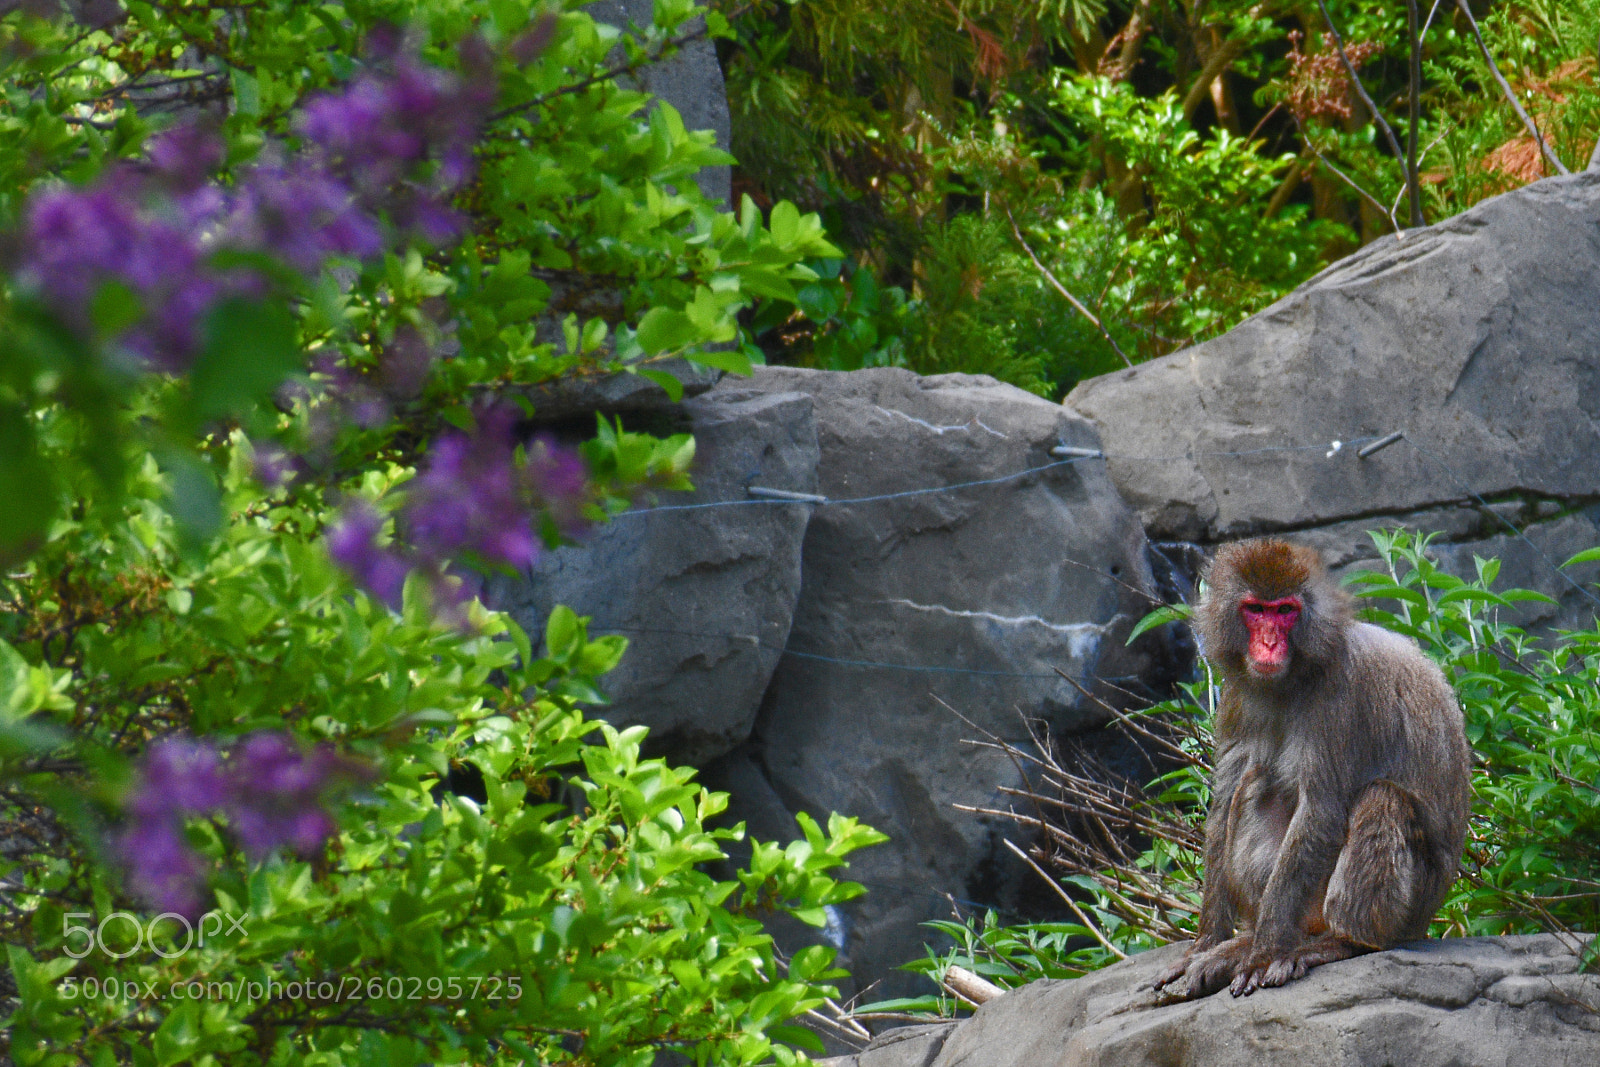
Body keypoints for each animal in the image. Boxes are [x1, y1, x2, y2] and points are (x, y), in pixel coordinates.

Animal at [1150, 538, 1471, 999]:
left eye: (1285, 610)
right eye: (1256, 609)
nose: (1268, 643)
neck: (1293, 677)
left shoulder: (1342, 694)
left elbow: (1321, 811)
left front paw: (1263, 955)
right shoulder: (1236, 696)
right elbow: (1225, 802)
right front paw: (1208, 942)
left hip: (1411, 909)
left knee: (1381, 799)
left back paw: (1339, 941)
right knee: (1255, 786)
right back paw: (1254, 940)